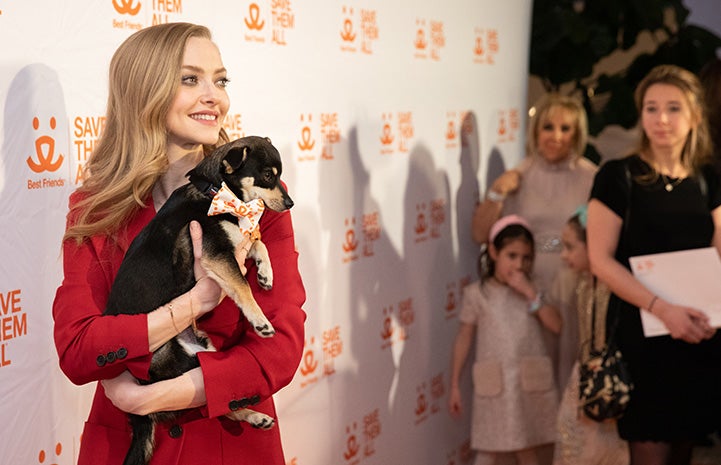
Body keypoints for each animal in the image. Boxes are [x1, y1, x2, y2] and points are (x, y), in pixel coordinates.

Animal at [103, 135, 292, 464]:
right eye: (269, 176)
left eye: (279, 175)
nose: (291, 203)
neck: (216, 192)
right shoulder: (217, 255)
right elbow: (242, 286)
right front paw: (260, 321)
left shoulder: (233, 243)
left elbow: (259, 243)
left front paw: (266, 273)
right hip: (180, 365)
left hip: (204, 352)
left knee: (218, 404)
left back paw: (255, 416)